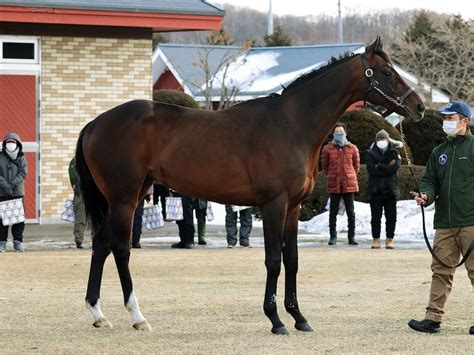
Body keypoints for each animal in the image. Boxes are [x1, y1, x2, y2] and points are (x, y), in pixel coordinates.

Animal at [75, 37, 426, 336]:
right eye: (386, 72)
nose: (420, 107)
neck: (290, 125)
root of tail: (94, 123)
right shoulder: (274, 204)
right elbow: (273, 260)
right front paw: (276, 320)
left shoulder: (293, 208)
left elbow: (292, 260)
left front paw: (298, 317)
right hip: (124, 198)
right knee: (120, 247)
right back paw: (137, 316)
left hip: (128, 196)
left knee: (101, 243)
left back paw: (98, 313)